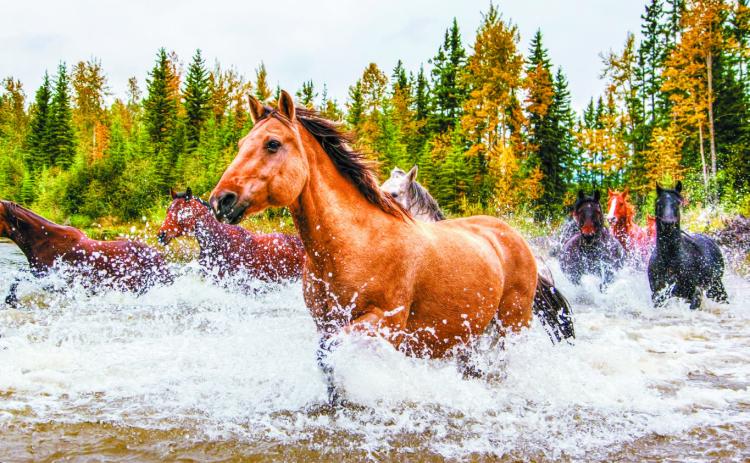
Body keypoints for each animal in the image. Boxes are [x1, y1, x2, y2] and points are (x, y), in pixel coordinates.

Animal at [209, 91, 574, 404]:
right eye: (242, 144)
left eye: (272, 143)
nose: (220, 201)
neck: (354, 243)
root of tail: (515, 239)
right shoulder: (326, 322)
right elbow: (327, 366)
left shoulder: (382, 323)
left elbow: (329, 352)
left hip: (511, 327)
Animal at [648, 182, 727, 310]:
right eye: (658, 202)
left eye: (677, 203)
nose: (668, 223)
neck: (670, 260)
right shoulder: (658, 295)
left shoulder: (693, 293)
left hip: (716, 285)